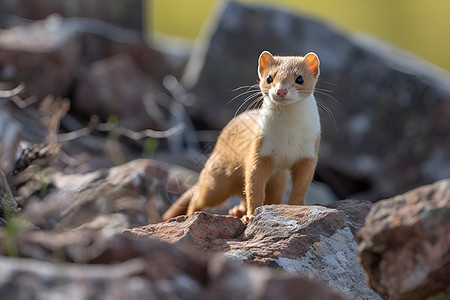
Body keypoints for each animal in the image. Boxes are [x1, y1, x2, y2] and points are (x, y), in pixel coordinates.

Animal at [163, 49, 322, 223]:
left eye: (300, 78)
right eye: (269, 78)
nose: (281, 90)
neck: (287, 134)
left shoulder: (309, 154)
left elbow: (301, 187)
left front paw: (297, 208)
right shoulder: (259, 149)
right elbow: (253, 184)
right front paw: (251, 216)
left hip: (278, 180)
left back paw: (237, 211)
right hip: (218, 179)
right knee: (200, 197)